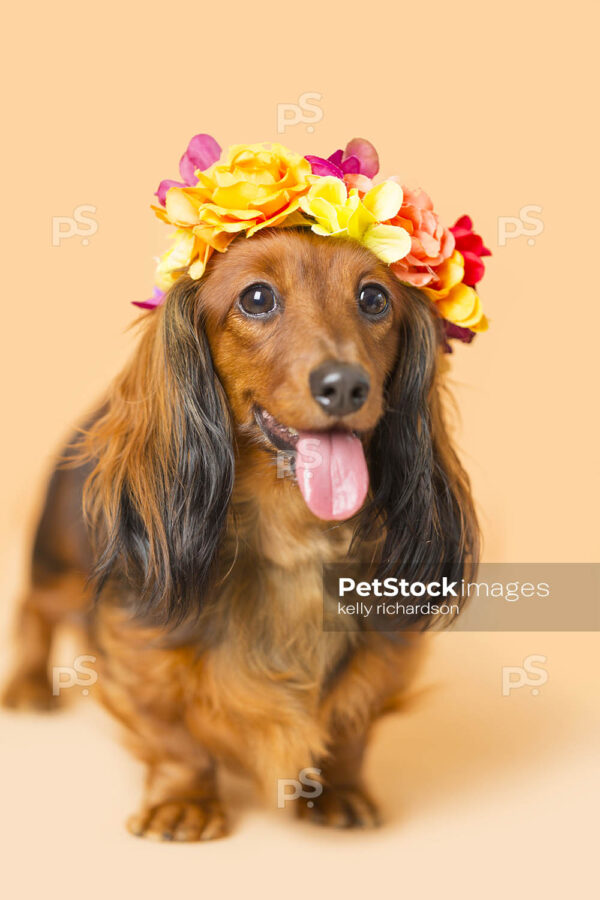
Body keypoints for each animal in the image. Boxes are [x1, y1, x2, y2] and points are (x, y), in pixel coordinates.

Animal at [1, 229, 478, 840]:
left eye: (374, 299)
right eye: (256, 298)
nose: (346, 385)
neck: (292, 537)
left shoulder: (386, 651)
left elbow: (351, 725)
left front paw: (339, 790)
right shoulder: (135, 647)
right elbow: (175, 740)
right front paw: (183, 802)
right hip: (58, 569)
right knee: (32, 608)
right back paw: (29, 685)